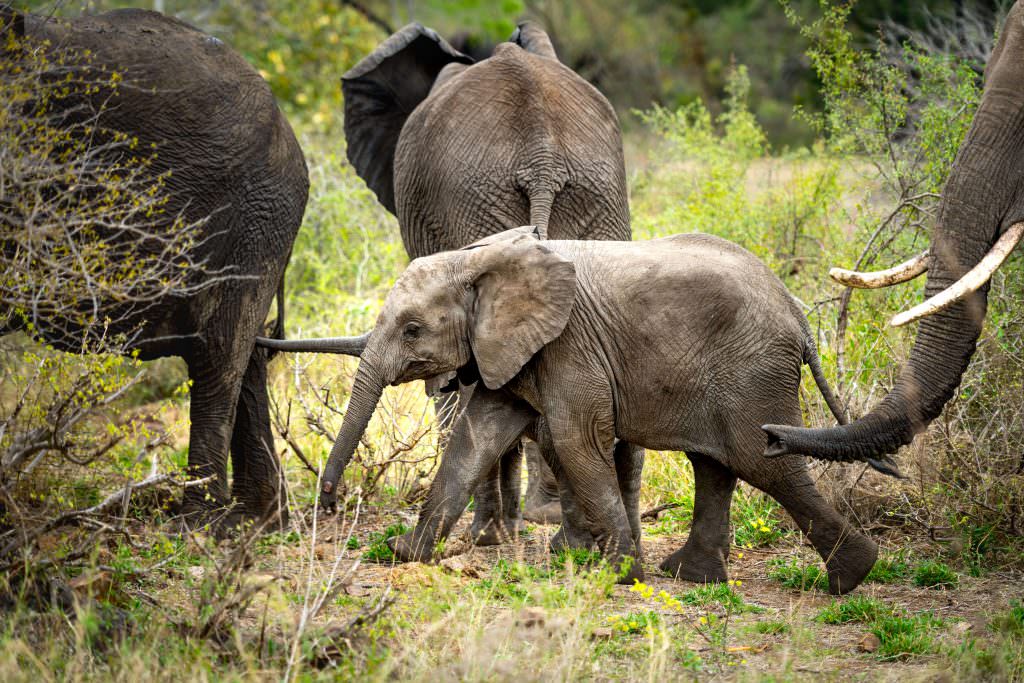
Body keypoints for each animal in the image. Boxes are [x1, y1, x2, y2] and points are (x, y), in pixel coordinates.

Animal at [262, 21, 634, 542]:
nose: (330, 503)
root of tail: (541, 157)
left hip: (472, 198)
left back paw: (489, 530)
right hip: (595, 195)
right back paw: (539, 517)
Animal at [286, 227, 877, 594]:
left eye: (412, 329)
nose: (329, 501)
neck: (479, 259)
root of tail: (798, 315)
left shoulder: (569, 344)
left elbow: (576, 440)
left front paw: (616, 575)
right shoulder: (512, 347)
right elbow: (475, 439)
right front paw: (405, 552)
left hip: (753, 368)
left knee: (763, 461)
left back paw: (850, 577)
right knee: (714, 465)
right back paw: (691, 577)